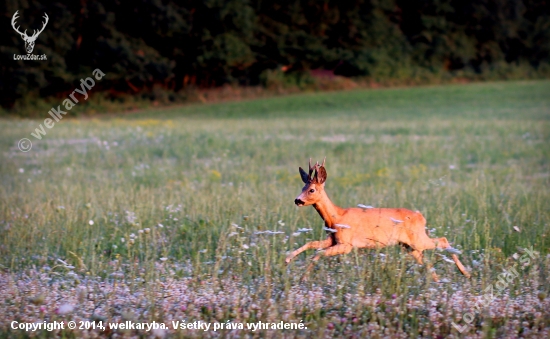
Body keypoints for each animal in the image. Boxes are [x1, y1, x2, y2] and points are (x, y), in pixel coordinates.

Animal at [286, 159, 472, 282]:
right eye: (302, 187)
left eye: (311, 189)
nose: (297, 200)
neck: (336, 217)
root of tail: (421, 216)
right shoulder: (332, 239)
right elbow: (312, 245)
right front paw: (288, 259)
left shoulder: (347, 244)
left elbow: (318, 253)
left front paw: (302, 277)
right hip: (410, 247)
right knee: (426, 260)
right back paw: (438, 280)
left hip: (417, 239)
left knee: (443, 240)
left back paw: (466, 273)